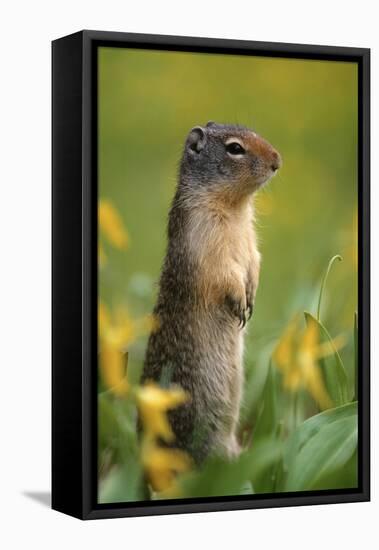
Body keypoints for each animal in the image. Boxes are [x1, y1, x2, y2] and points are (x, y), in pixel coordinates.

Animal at [142, 122, 282, 466]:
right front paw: (241, 302)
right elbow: (223, 274)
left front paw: (252, 296)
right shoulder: (203, 239)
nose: (277, 160)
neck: (235, 208)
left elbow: (255, 259)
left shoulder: (250, 239)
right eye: (235, 148)